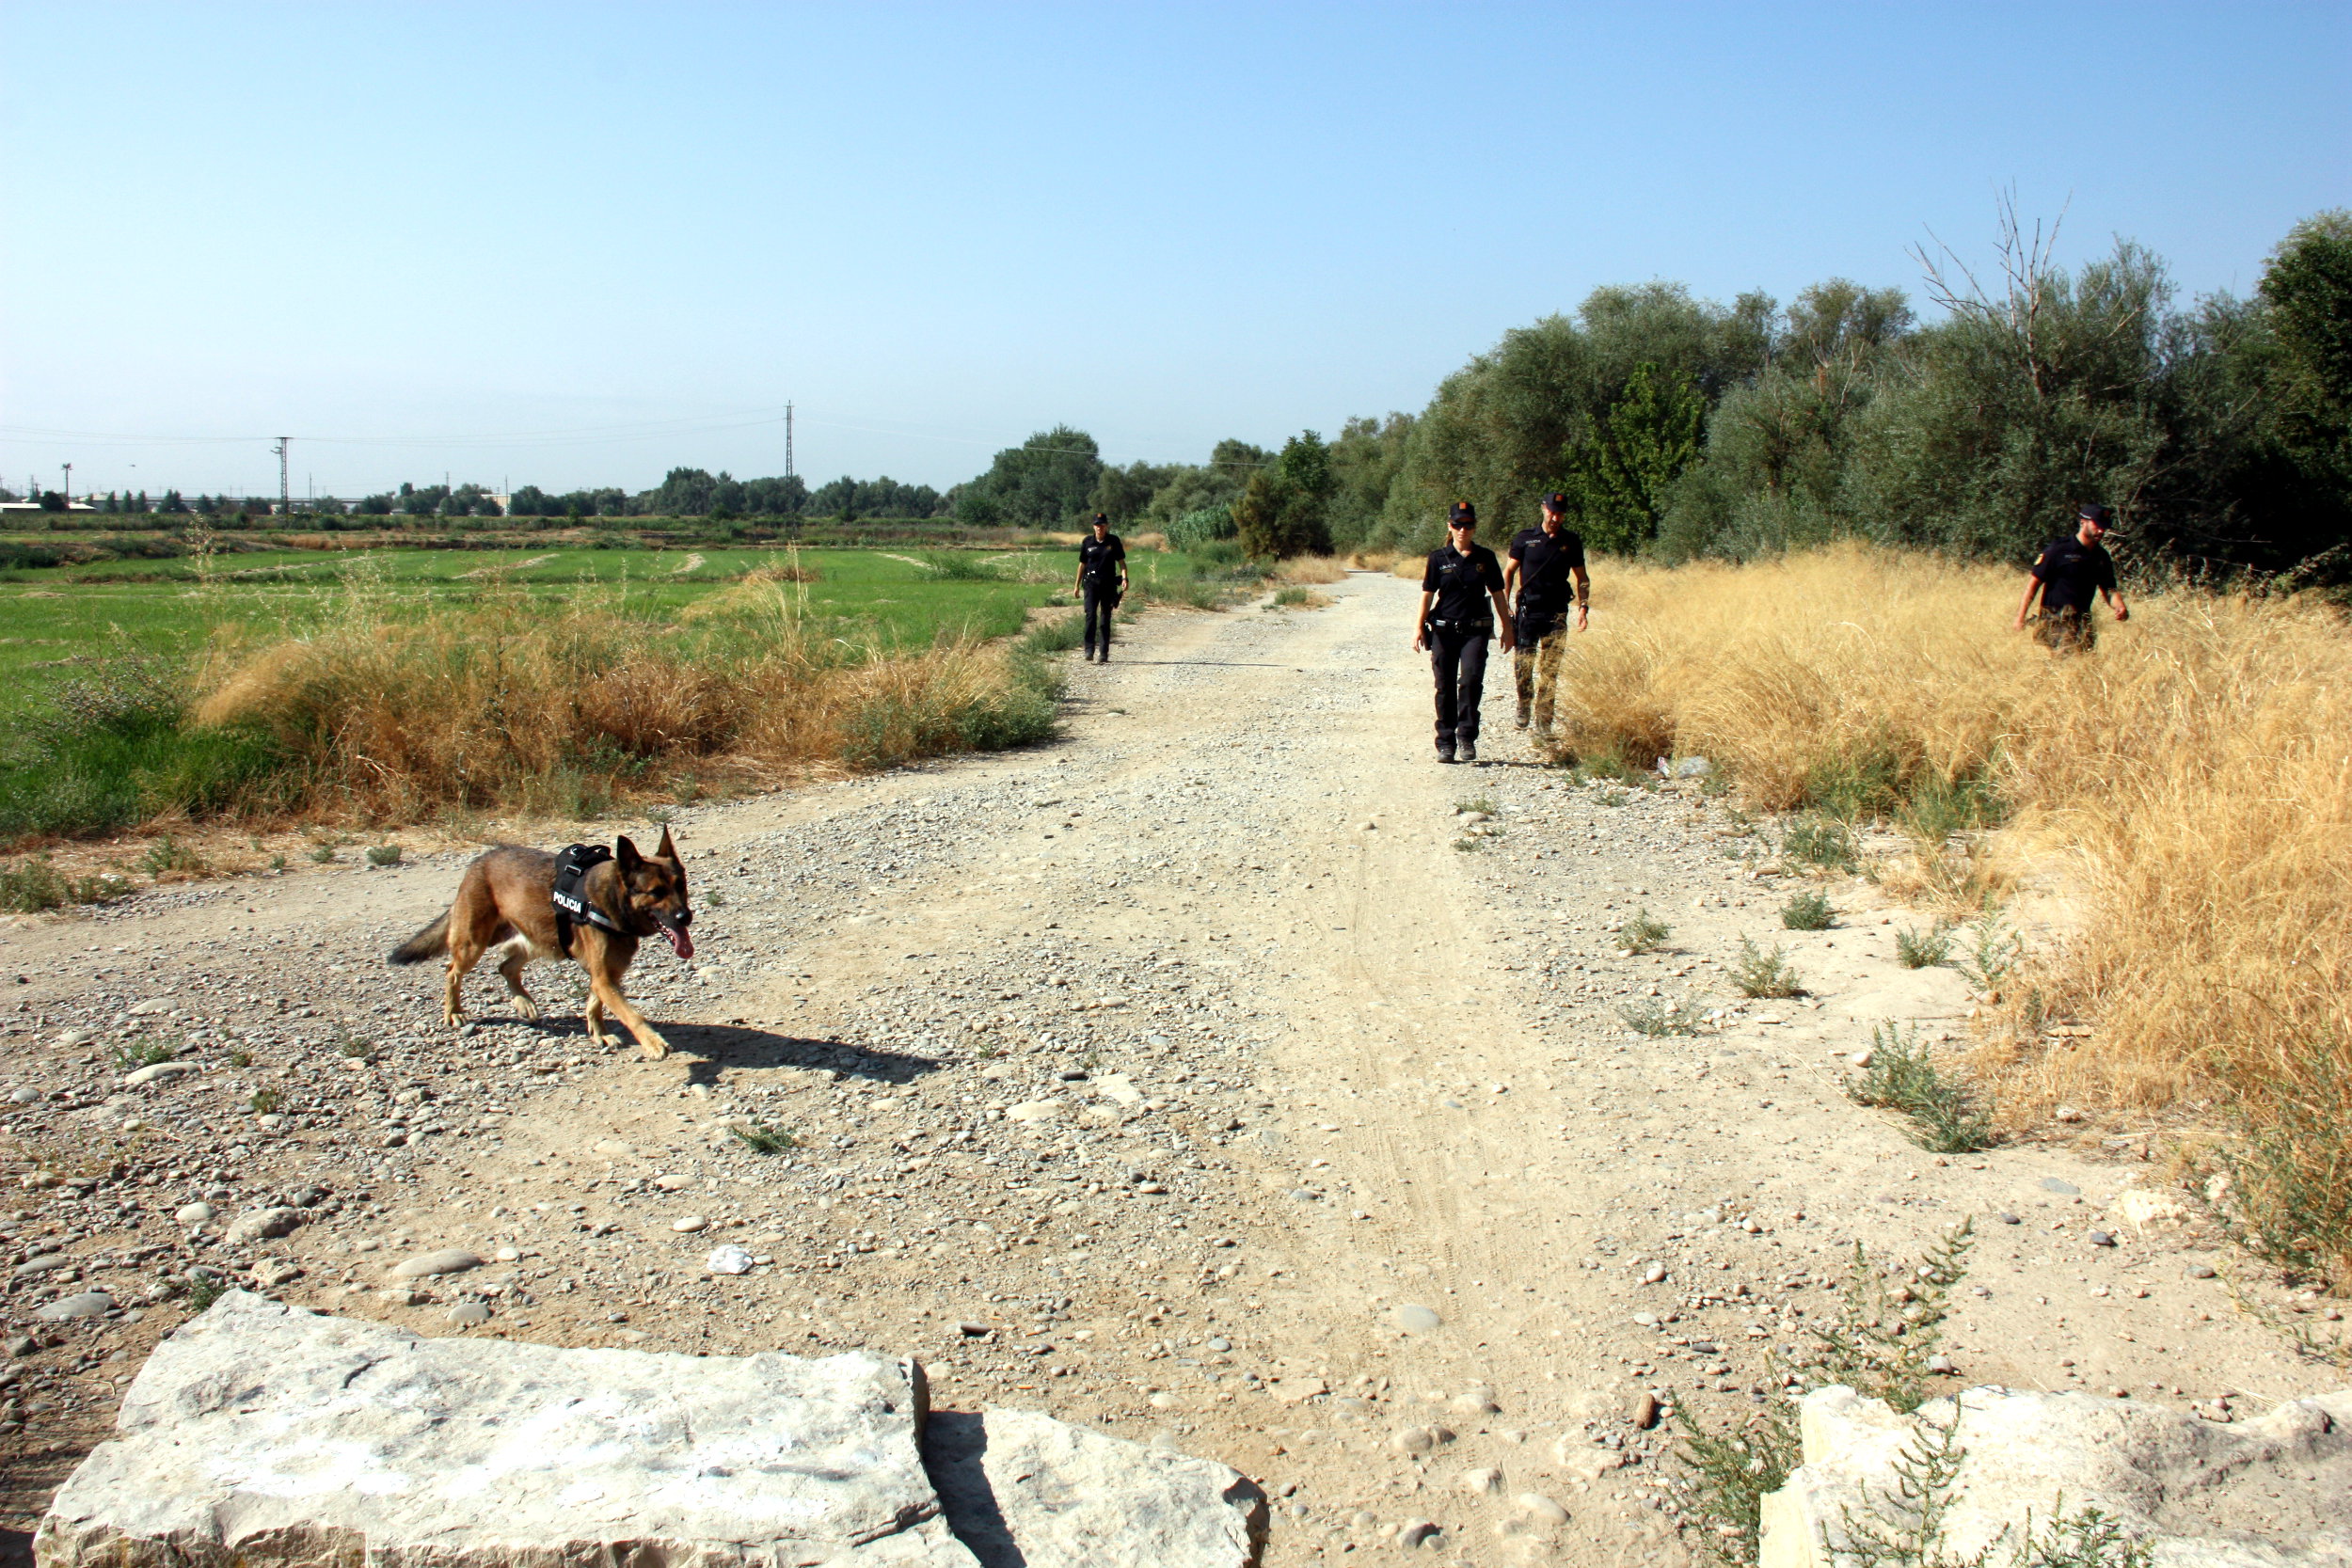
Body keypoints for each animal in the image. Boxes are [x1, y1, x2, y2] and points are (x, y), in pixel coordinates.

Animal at [386, 827, 691, 1062]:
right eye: (656, 893)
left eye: (681, 886)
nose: (685, 917)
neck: (614, 900)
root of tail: (481, 860)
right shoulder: (604, 978)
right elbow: (631, 1014)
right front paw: (652, 1042)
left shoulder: (606, 976)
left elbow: (594, 1003)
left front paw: (599, 1032)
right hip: (475, 942)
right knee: (453, 971)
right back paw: (454, 1012)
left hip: (541, 939)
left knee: (506, 965)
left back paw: (523, 1003)